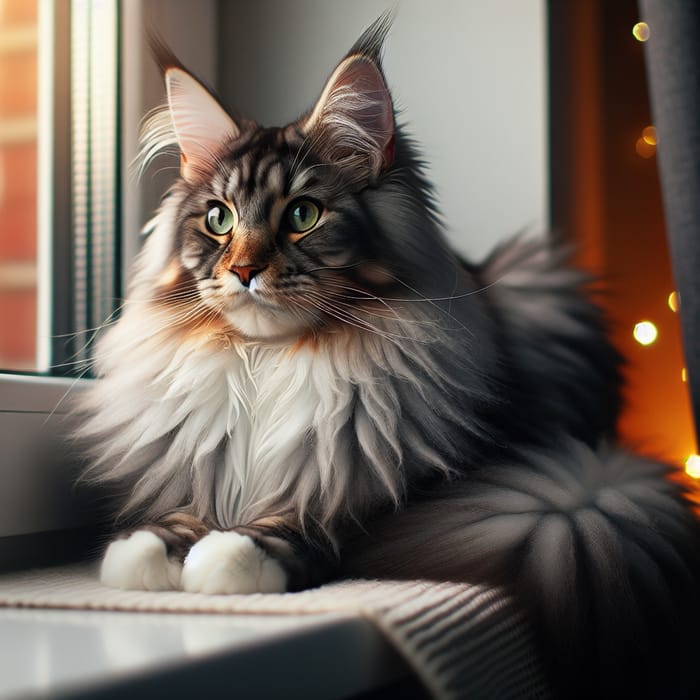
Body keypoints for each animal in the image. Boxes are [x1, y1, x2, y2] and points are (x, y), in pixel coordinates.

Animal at [76, 16, 700, 700]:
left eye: (303, 214)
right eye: (218, 219)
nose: (242, 270)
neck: (270, 363)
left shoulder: (399, 489)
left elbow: (309, 518)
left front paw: (234, 555)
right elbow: (180, 512)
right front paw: (148, 549)